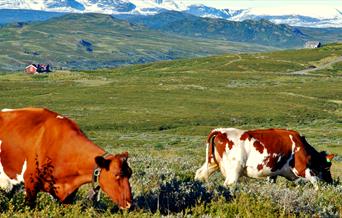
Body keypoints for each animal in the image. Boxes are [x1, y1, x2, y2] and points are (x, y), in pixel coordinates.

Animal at [195, 127, 334, 187]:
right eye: (328, 167)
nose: (331, 182)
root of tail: (220, 131)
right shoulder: (302, 168)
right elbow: (316, 182)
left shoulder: (273, 173)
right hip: (234, 169)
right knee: (229, 183)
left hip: (212, 163)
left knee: (200, 174)